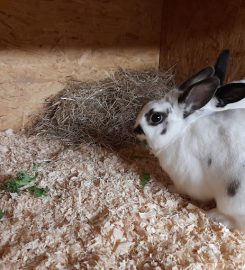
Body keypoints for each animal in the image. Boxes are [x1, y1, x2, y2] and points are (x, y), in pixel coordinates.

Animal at [134, 50, 245, 230]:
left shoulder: (188, 178)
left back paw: (215, 215)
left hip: (232, 200)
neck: (179, 133)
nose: (135, 129)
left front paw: (170, 187)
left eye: (156, 117)